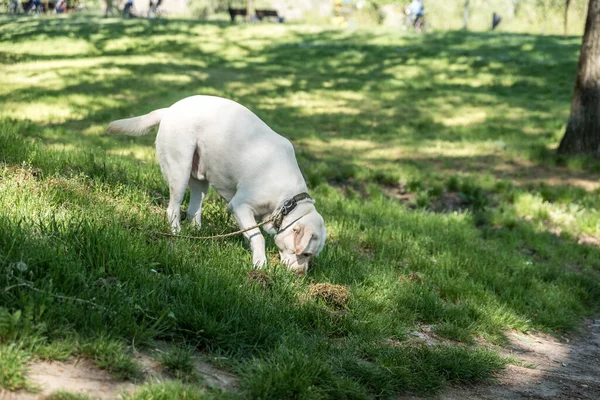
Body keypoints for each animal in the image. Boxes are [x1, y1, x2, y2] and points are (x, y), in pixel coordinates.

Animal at [105, 95, 326, 274]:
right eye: (306, 254)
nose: (300, 275)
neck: (287, 200)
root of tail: (169, 109)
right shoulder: (240, 206)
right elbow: (258, 237)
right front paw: (260, 263)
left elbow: (252, 234)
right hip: (179, 171)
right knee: (173, 208)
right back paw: (177, 233)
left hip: (201, 181)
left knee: (193, 210)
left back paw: (197, 233)